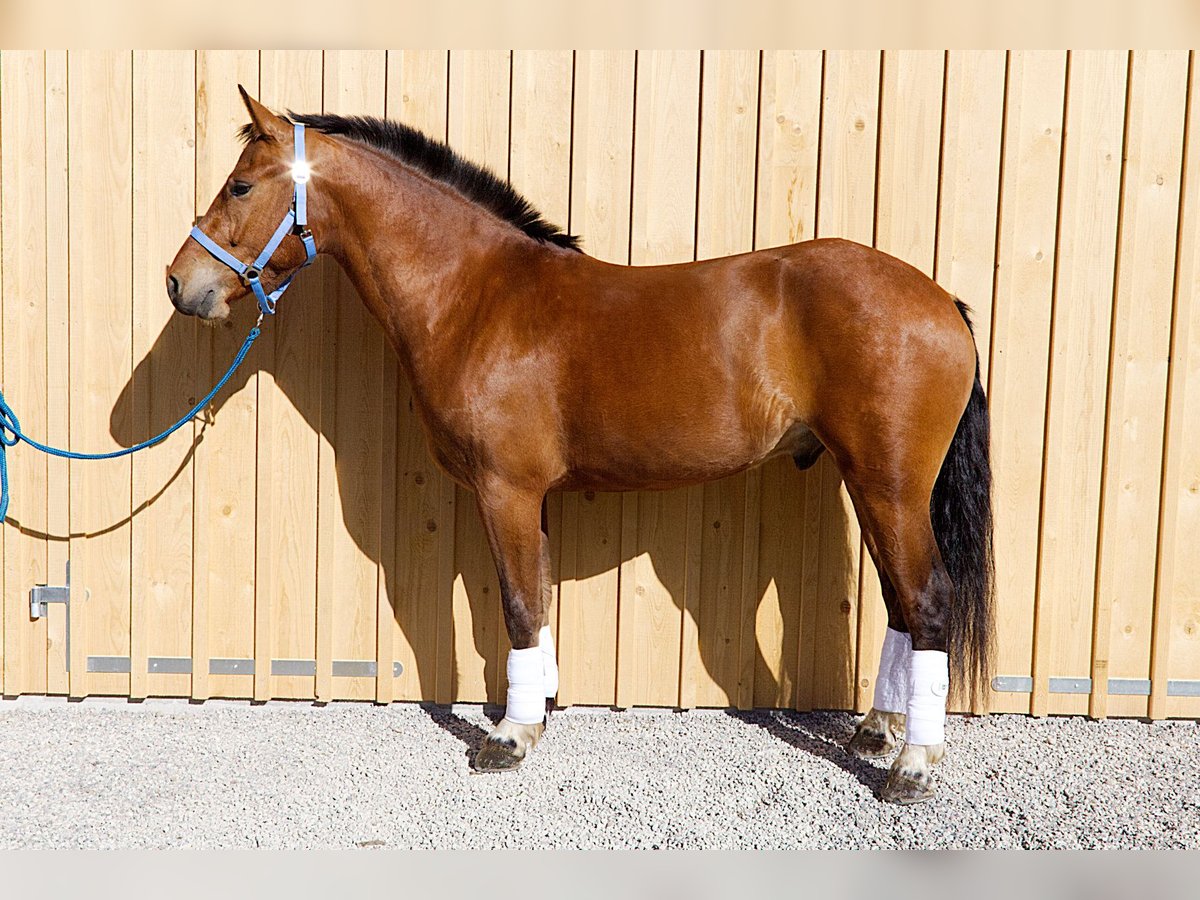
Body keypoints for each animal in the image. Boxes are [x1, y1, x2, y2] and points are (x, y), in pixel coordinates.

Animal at [166, 90, 993, 811]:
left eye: (240, 185)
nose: (180, 284)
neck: (476, 296)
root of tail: (941, 301)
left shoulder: (505, 489)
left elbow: (518, 605)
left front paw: (509, 738)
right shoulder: (529, 497)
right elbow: (538, 600)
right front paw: (537, 710)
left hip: (889, 486)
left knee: (928, 599)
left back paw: (913, 766)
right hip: (872, 485)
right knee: (898, 600)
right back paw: (877, 731)